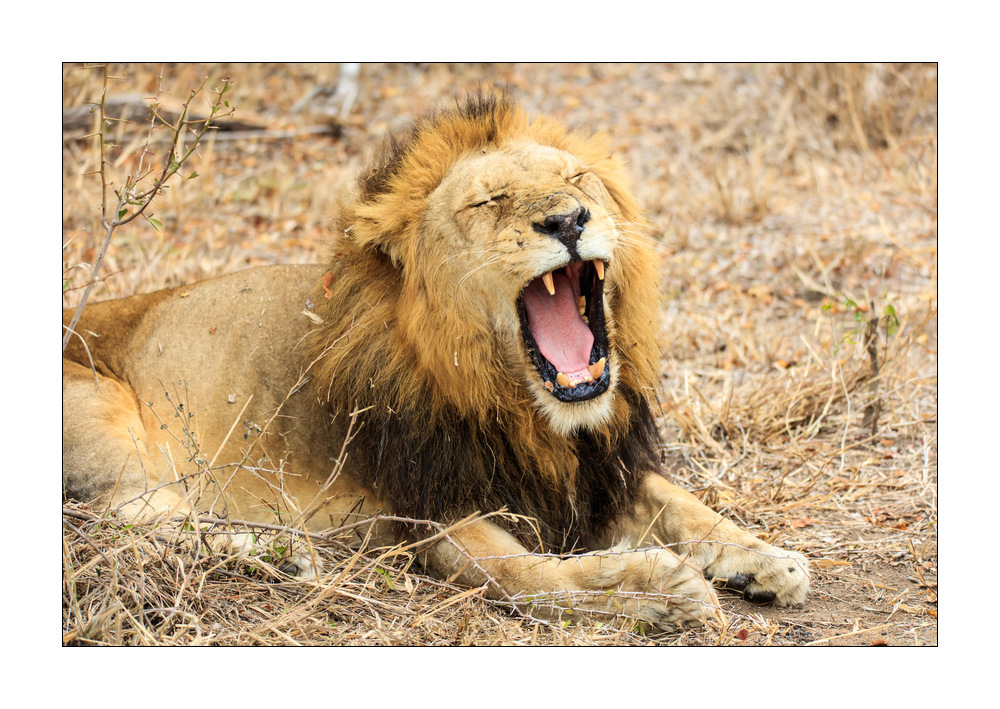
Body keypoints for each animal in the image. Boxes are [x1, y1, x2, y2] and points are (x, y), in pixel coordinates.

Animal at [63, 91, 808, 630]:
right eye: (489, 200)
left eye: (578, 179)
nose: (568, 220)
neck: (531, 415)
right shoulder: (431, 510)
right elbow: (528, 576)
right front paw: (655, 588)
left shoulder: (597, 471)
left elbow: (683, 503)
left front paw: (767, 558)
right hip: (99, 408)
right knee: (129, 518)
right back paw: (269, 551)